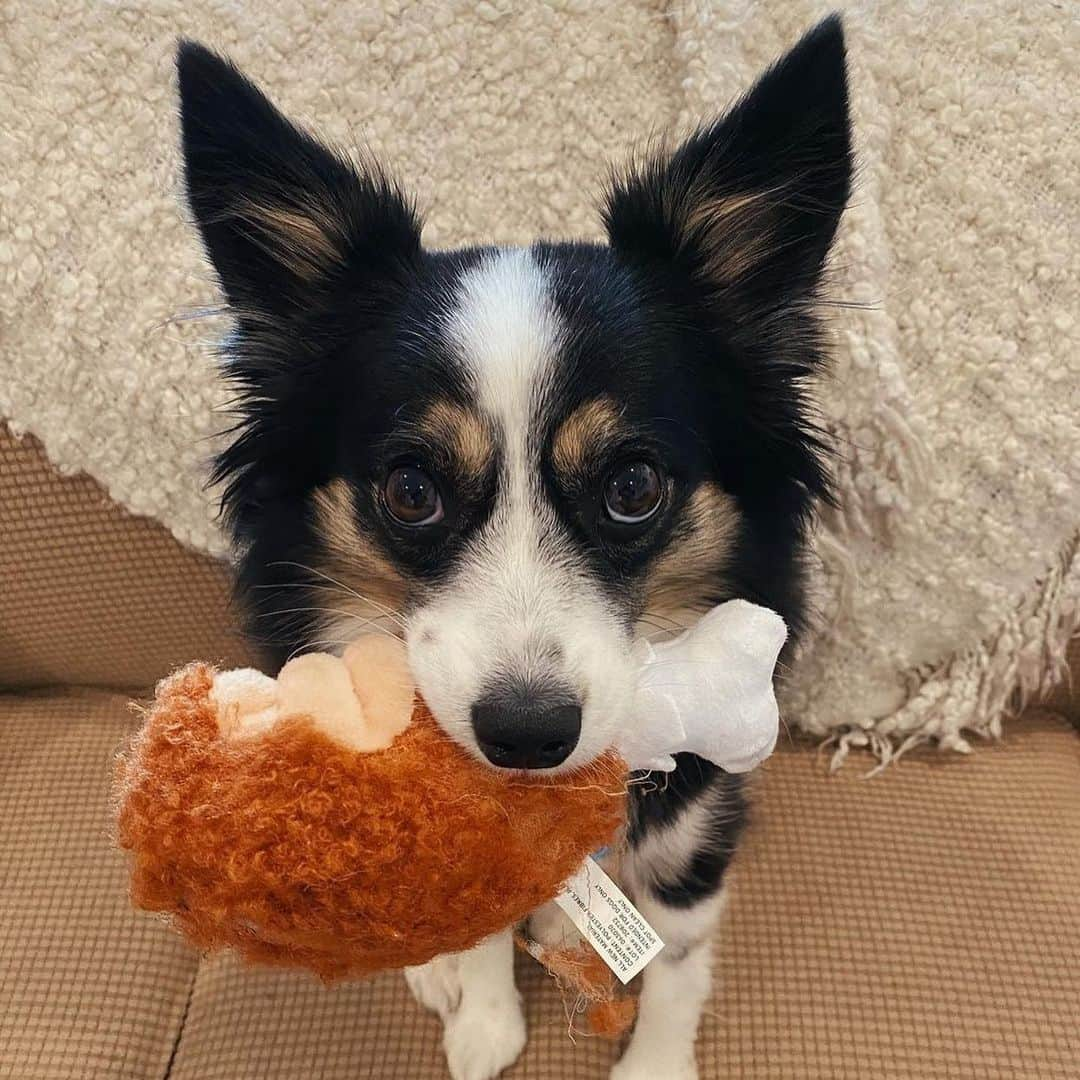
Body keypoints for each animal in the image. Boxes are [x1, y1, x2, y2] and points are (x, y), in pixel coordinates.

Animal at [177, 16, 851, 1080]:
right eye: (411, 491)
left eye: (633, 488)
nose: (528, 735)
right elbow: (477, 904)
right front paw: (484, 1015)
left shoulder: (699, 832)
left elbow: (677, 959)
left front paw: (657, 1062)